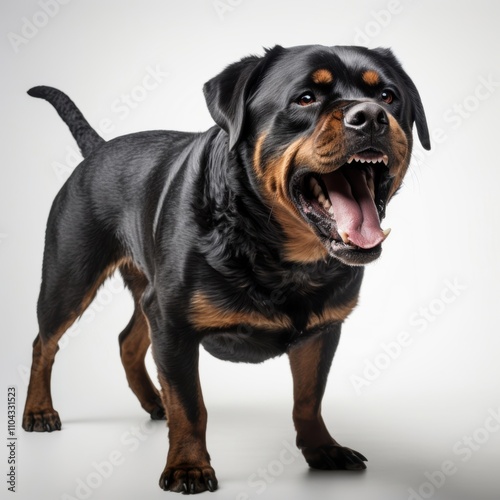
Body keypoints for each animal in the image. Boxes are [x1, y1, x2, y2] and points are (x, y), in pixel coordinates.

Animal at [22, 45, 430, 494]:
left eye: (388, 96)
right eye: (305, 98)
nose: (371, 115)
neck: (279, 252)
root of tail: (98, 148)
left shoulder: (322, 330)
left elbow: (308, 397)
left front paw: (321, 447)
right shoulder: (174, 326)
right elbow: (190, 405)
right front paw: (188, 466)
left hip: (146, 292)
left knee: (128, 340)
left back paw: (153, 400)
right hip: (70, 277)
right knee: (45, 342)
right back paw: (39, 410)